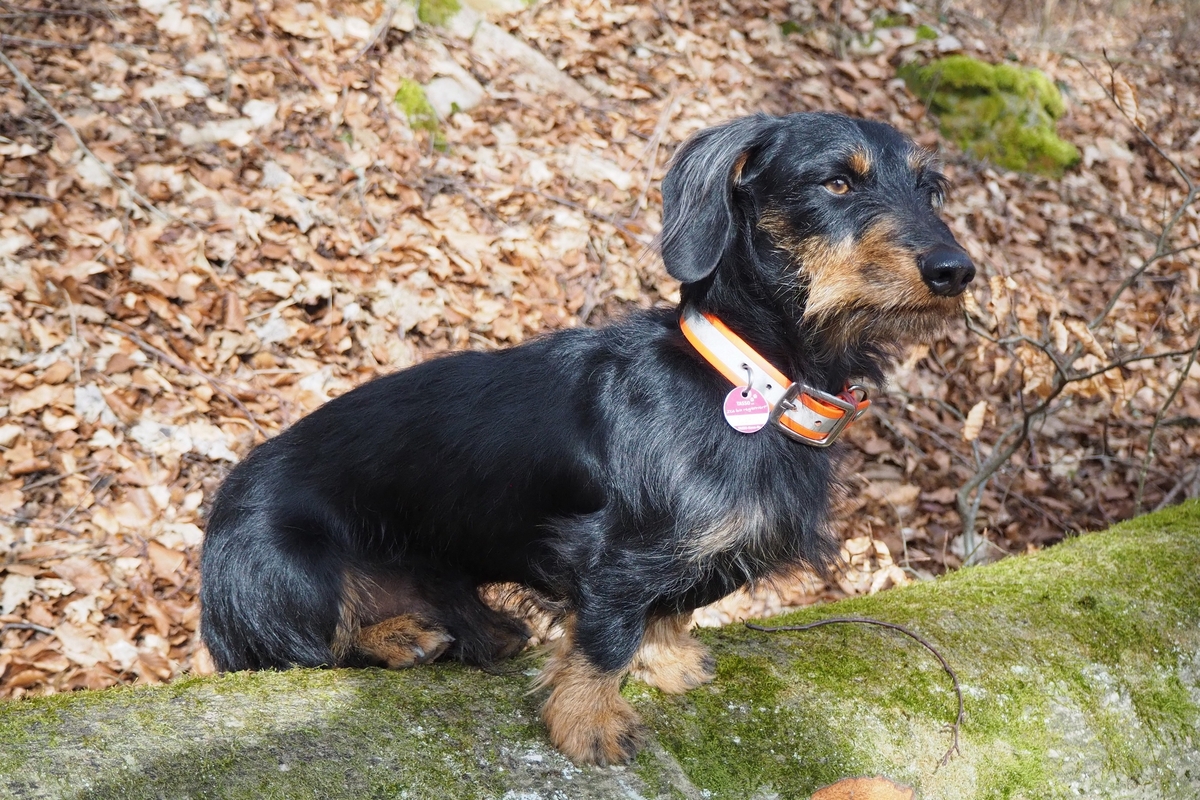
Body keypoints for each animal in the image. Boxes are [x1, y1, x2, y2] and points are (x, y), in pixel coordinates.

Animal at [201, 110, 974, 762]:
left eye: (930, 190)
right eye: (838, 182)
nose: (956, 271)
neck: (749, 375)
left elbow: (671, 608)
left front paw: (667, 661)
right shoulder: (616, 555)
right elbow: (607, 636)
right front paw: (589, 722)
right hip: (289, 573)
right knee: (308, 651)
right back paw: (399, 636)